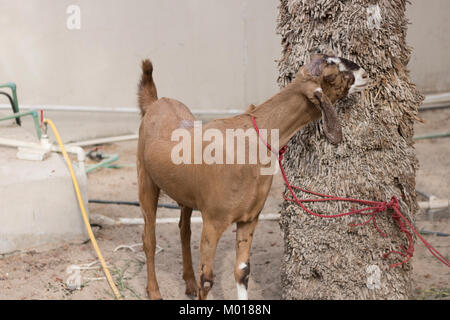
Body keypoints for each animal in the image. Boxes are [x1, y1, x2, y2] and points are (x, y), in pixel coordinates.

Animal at [136, 53, 370, 300]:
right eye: (331, 76)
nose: (365, 74)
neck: (251, 141)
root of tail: (156, 102)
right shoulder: (213, 220)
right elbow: (207, 279)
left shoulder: (250, 218)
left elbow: (242, 271)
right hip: (145, 180)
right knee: (149, 239)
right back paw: (154, 291)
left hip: (185, 193)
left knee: (184, 231)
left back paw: (189, 283)